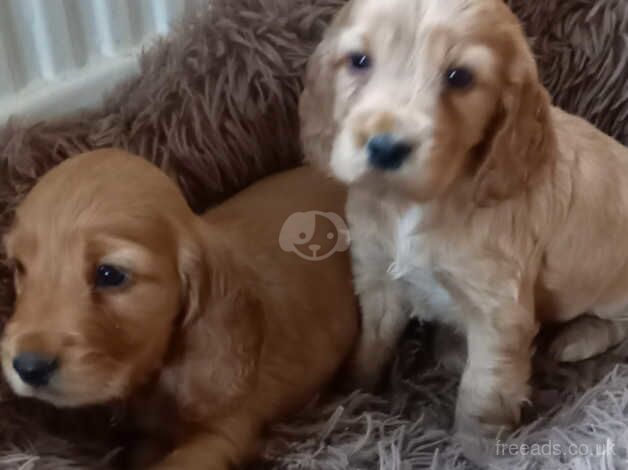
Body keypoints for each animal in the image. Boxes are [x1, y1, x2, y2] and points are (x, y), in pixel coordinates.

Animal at [300, 0, 628, 436]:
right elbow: (372, 342)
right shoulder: (377, 274)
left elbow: (482, 390)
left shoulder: (499, 310)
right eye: (359, 61)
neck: (415, 205)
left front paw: (477, 444)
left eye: (460, 77)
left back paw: (577, 338)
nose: (385, 147)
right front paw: (353, 392)